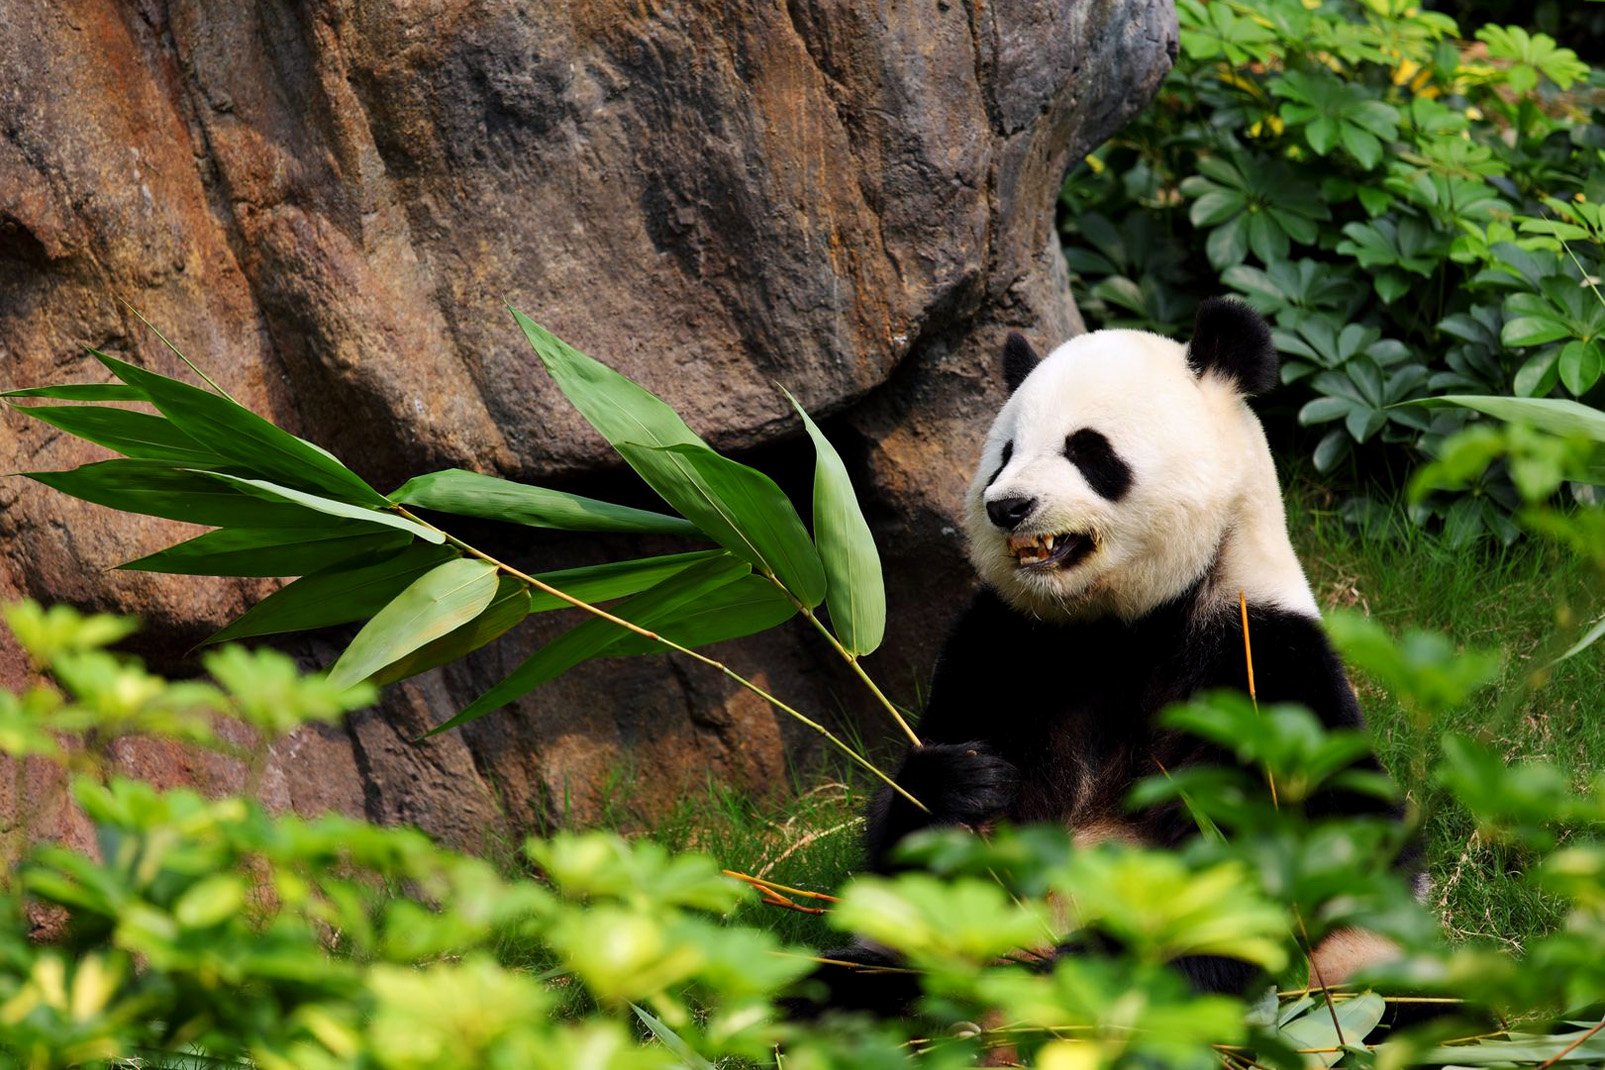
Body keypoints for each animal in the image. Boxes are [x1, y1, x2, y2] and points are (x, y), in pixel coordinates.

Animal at [808, 296, 1399, 1020]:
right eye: (1004, 453)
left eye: (1087, 450)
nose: (1007, 506)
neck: (1120, 623)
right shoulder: (999, 643)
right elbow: (906, 860)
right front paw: (963, 781)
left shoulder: (1265, 660)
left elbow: (1318, 848)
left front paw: (1106, 963)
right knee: (834, 983)